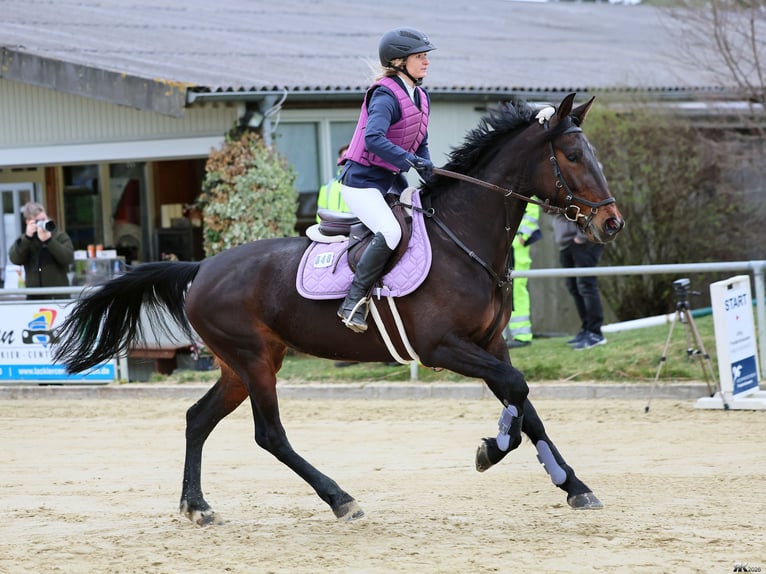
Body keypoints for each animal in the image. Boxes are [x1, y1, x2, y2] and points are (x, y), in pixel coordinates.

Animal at [52, 92, 624, 525]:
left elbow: (524, 402)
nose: (612, 223)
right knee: (270, 435)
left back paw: (197, 506)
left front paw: (572, 483)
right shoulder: (442, 347)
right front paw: (494, 447)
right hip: (254, 361)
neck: (464, 237)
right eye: (573, 156)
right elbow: (517, 392)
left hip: (243, 364)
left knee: (198, 419)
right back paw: (340, 499)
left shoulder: (490, 343)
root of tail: (203, 268)